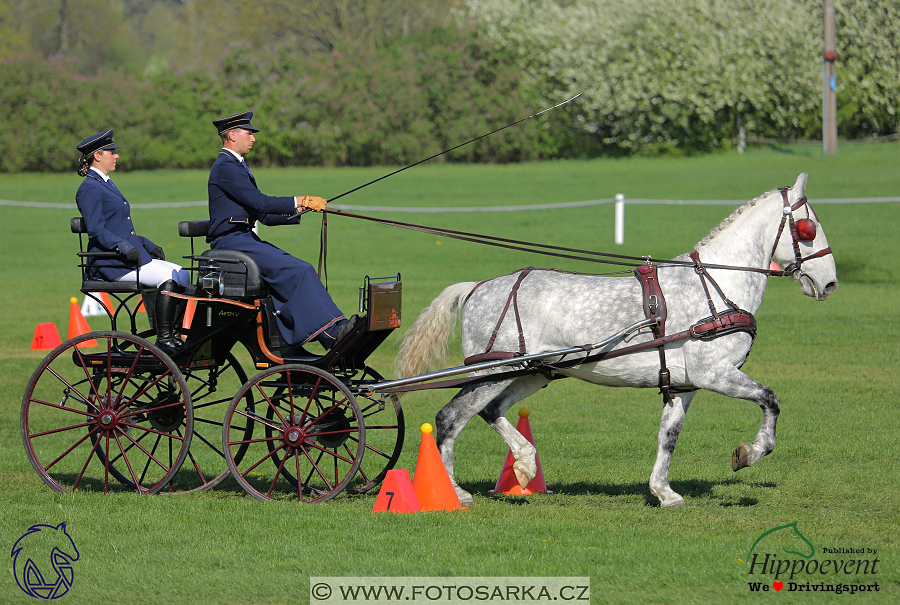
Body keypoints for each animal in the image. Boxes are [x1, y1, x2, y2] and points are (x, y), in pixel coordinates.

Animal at [398, 172, 840, 508]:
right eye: (809, 228)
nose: (830, 283)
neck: (715, 286)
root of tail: (476, 287)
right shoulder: (715, 373)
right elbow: (770, 400)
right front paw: (749, 453)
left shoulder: (684, 385)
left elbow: (668, 436)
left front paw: (664, 492)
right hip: (494, 369)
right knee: (450, 418)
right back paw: (455, 493)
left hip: (530, 372)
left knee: (490, 412)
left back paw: (523, 463)